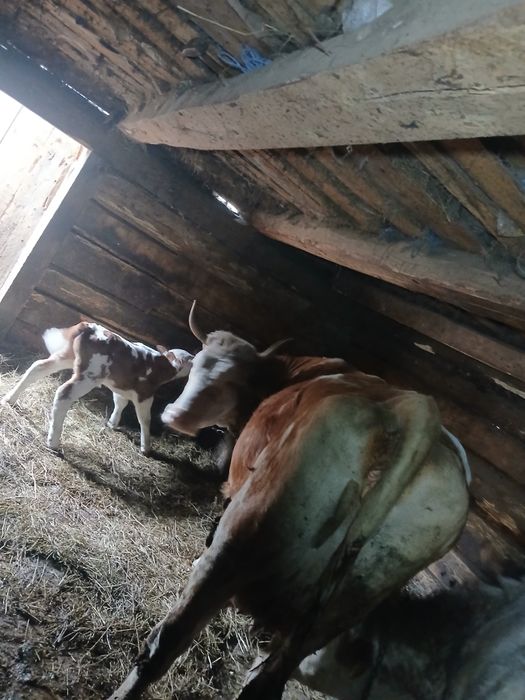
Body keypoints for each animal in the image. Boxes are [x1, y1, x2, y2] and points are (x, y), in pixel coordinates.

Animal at [1, 322, 193, 455]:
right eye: (191, 360)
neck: (166, 365)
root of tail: (88, 327)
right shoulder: (145, 394)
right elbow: (144, 419)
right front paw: (146, 448)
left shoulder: (120, 386)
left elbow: (120, 402)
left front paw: (112, 423)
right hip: (90, 374)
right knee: (64, 393)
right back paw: (53, 442)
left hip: (67, 356)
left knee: (37, 367)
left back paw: (10, 399)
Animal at [108, 301, 470, 700]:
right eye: (198, 364)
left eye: (234, 381)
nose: (176, 416)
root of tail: (415, 412)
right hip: (344, 605)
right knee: (267, 678)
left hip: (241, 538)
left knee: (167, 641)